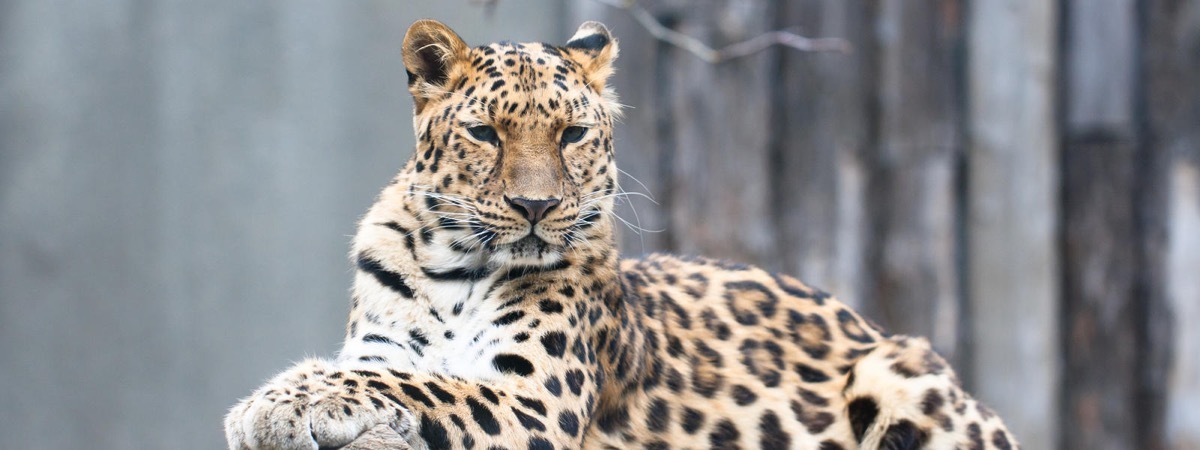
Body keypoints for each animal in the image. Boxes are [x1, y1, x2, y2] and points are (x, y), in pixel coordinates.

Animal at [223, 19, 1012, 448]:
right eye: (485, 133)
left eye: (572, 134)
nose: (536, 205)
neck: (455, 266)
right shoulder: (389, 344)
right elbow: (388, 368)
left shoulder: (534, 397)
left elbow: (418, 384)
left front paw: (271, 404)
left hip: (901, 370)